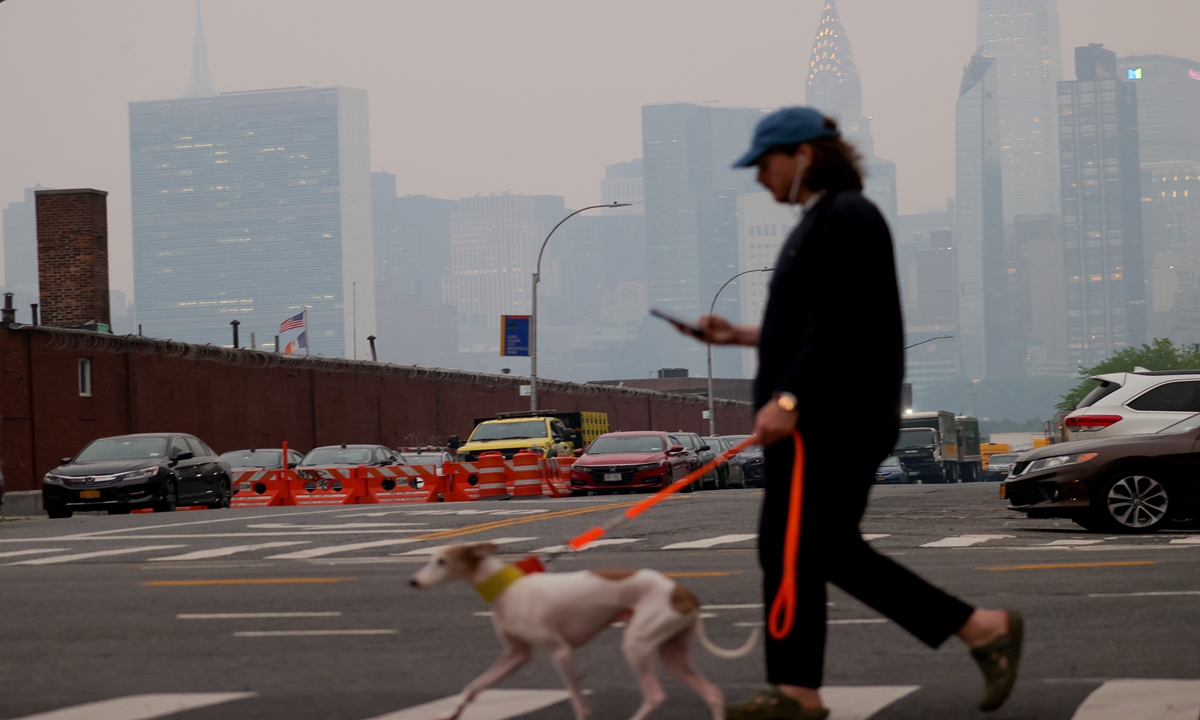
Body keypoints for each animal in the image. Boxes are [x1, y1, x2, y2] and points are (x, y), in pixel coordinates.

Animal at [408, 540, 753, 720]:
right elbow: (474, 686)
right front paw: (453, 713)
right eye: (431, 558)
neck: (508, 590)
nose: (413, 582)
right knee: (713, 693)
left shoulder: (560, 651)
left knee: (655, 695)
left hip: (637, 644)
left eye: (441, 561)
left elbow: (580, 705)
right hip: (672, 652)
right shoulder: (516, 655)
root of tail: (683, 592)